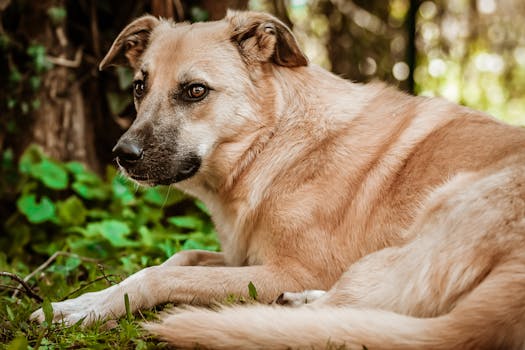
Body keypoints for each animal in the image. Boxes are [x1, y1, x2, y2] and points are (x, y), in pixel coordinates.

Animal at [31, 10, 524, 350]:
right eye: (139, 87)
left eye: (195, 91)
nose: (121, 156)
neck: (271, 143)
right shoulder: (244, 256)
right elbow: (176, 259)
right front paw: (74, 304)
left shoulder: (288, 269)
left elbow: (154, 277)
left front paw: (85, 311)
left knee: (337, 315)